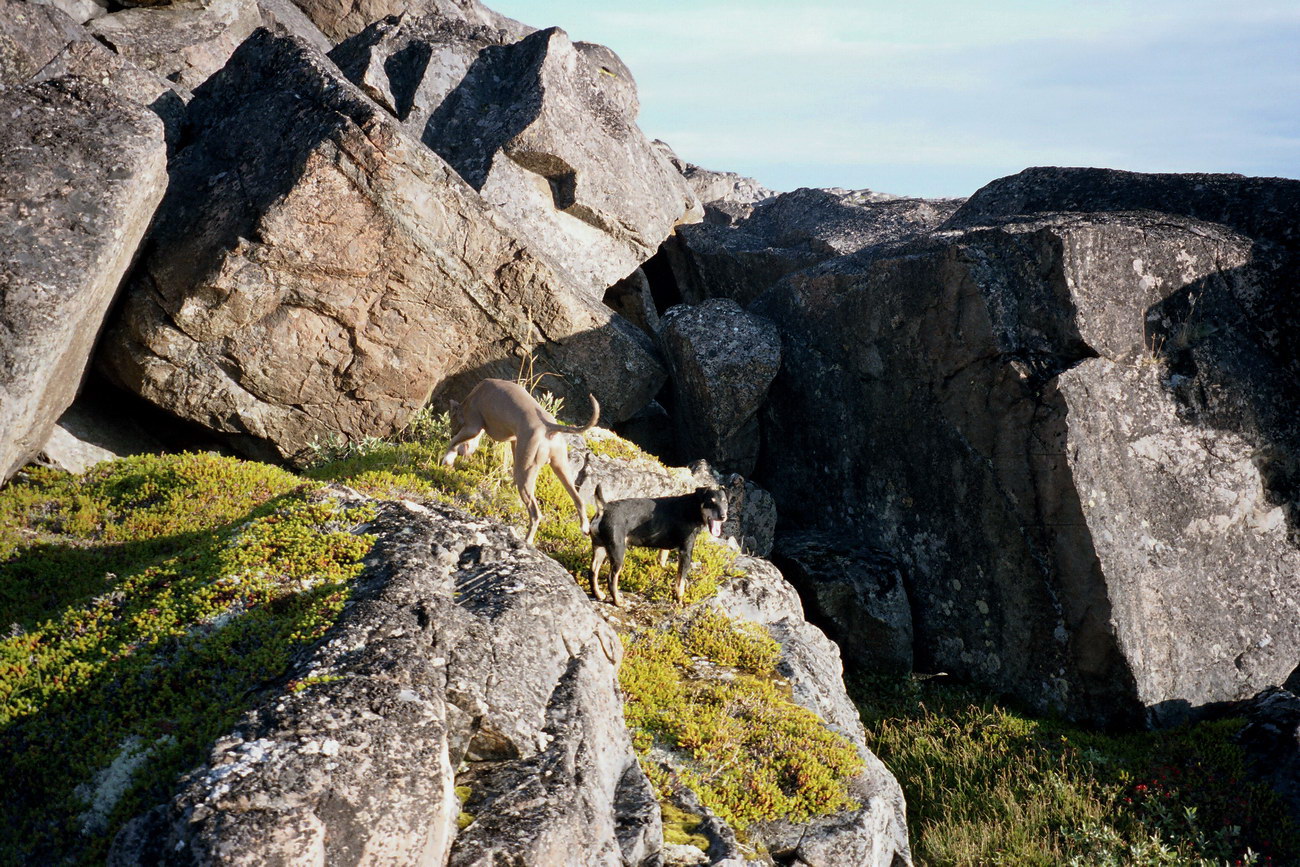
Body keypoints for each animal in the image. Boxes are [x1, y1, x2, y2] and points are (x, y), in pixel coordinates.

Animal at [439, 376, 595, 543]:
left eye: (452, 422)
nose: (464, 454)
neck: (471, 397)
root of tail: (549, 427)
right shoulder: (514, 440)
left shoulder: (472, 426)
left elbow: (454, 441)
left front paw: (448, 459)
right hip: (560, 467)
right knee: (578, 499)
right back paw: (585, 527)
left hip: (527, 473)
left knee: (535, 513)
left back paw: (527, 541)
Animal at [592, 486, 733, 608]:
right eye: (710, 502)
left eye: (725, 502)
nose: (723, 516)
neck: (692, 507)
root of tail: (603, 509)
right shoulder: (686, 551)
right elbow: (680, 581)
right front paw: (680, 600)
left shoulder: (665, 546)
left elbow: (662, 559)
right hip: (617, 551)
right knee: (611, 579)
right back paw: (618, 601)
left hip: (599, 547)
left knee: (592, 571)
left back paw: (598, 594)